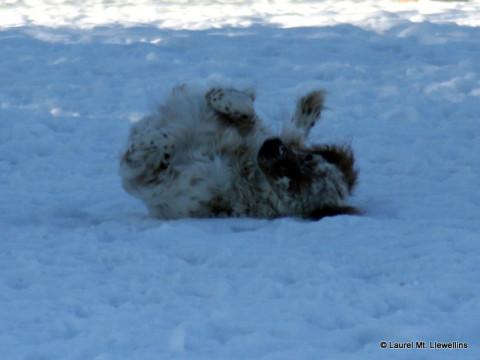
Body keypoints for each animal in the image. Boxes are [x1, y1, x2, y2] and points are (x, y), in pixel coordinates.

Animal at [121, 85, 360, 219]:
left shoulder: (151, 182)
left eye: (297, 184)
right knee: (297, 130)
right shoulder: (253, 132)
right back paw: (309, 108)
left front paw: (143, 138)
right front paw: (221, 96)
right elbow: (247, 109)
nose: (274, 145)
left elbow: (163, 143)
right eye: (308, 158)